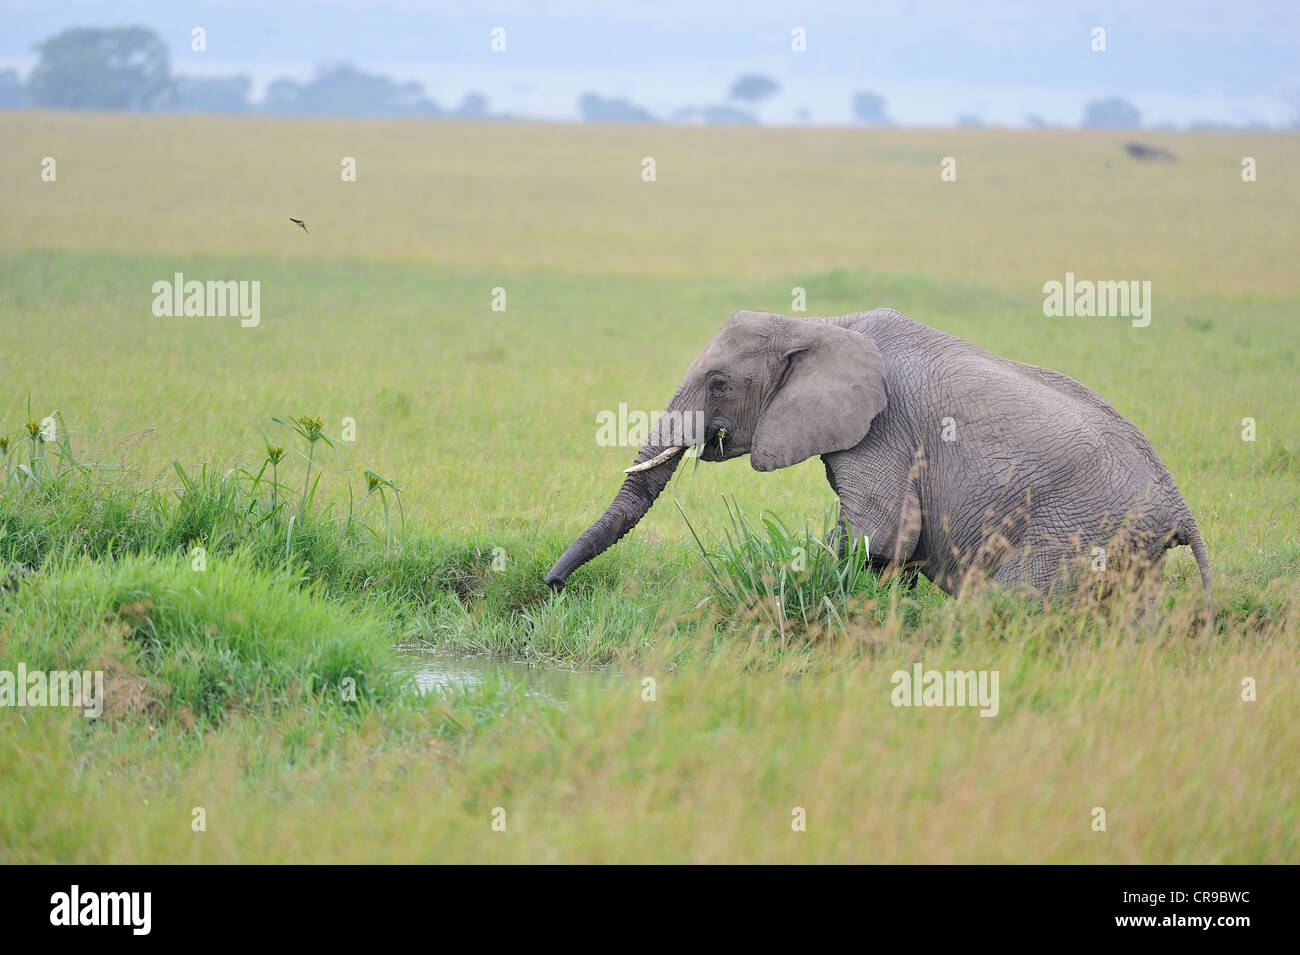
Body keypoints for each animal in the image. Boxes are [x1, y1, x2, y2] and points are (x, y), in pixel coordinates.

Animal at [545, 308, 1212, 614]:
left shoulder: (885, 428)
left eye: (718, 383)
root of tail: (1182, 509)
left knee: (1013, 603)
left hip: (1079, 529)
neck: (816, 324)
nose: (550, 585)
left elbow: (878, 533)